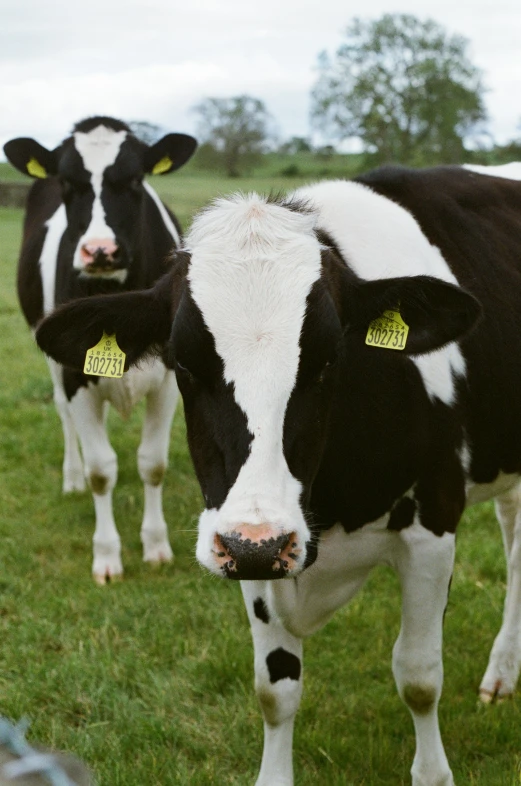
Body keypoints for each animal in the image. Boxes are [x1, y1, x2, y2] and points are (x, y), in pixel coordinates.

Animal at [4, 116, 195, 580]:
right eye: (67, 183)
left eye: (135, 180)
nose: (100, 251)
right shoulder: (75, 373)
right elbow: (100, 470)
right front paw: (107, 555)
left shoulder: (168, 378)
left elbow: (153, 463)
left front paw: (156, 545)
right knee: (64, 415)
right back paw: (71, 477)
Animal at [33, 167, 521, 784]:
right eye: (182, 361)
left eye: (329, 358)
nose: (260, 544)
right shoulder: (246, 542)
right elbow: (276, 689)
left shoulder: (432, 527)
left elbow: (418, 677)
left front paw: (433, 773)